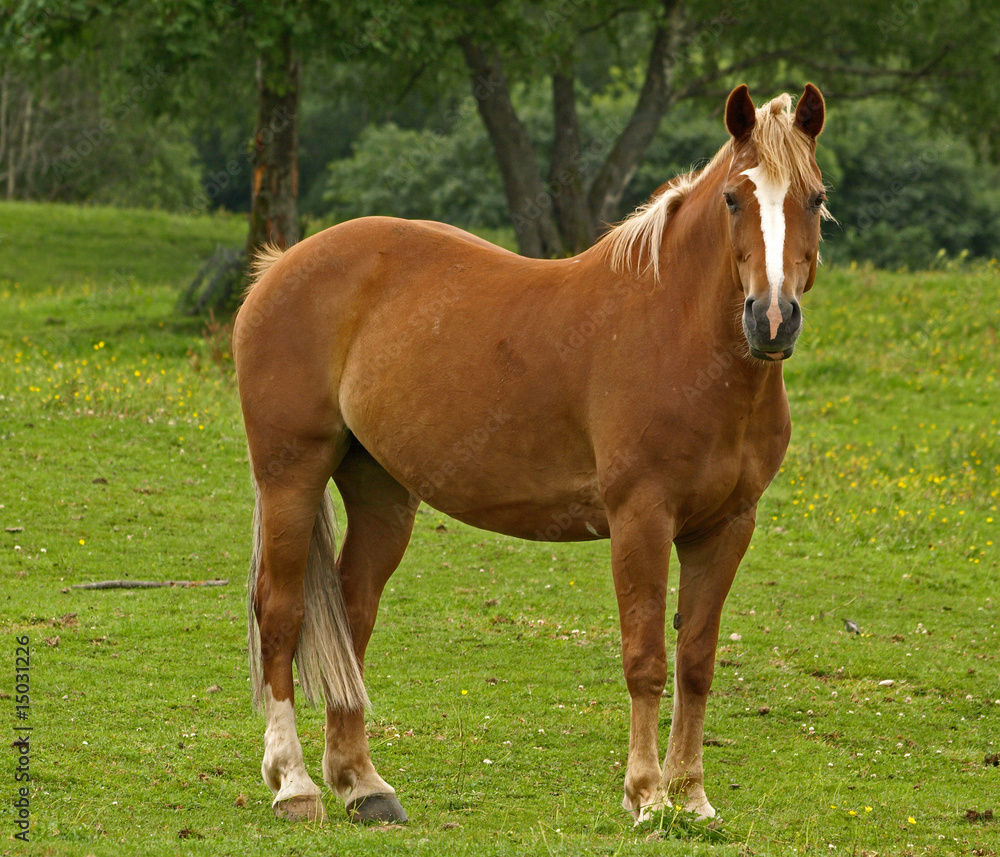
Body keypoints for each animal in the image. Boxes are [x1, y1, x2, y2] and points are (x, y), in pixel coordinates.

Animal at [232, 83, 828, 824]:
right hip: (292, 474)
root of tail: (278, 266)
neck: (680, 340)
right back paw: (295, 783)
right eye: (733, 199)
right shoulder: (641, 519)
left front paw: (691, 797)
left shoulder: (725, 528)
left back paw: (362, 783)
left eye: (814, 198)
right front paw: (647, 794)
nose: (771, 320)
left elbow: (695, 662)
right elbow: (646, 659)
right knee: (282, 612)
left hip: (381, 491)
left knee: (353, 612)